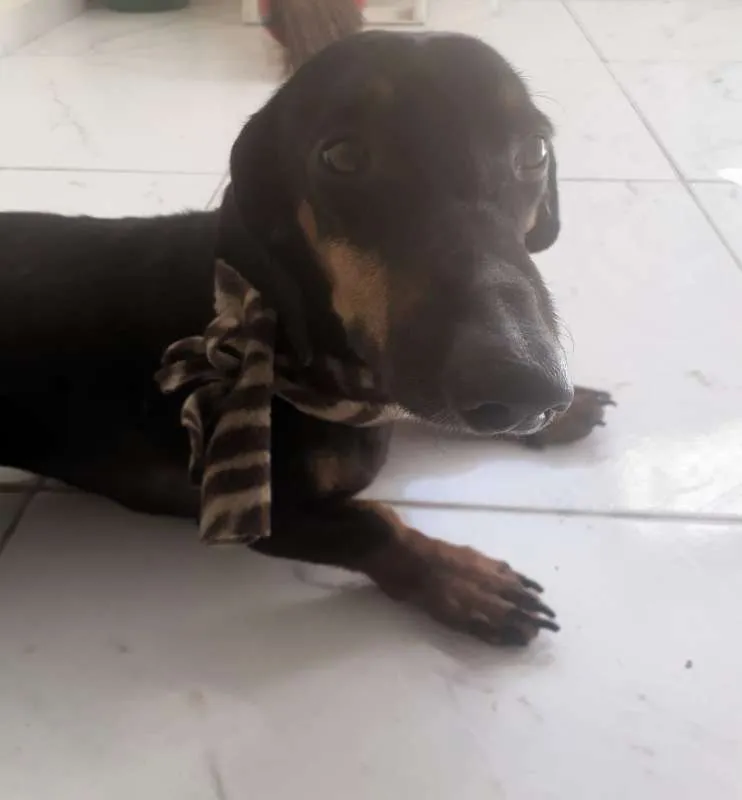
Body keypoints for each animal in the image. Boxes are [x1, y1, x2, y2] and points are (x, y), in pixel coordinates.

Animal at [0, 32, 612, 645]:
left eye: (534, 151)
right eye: (342, 156)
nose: (525, 388)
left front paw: (567, 410)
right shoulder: (253, 510)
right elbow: (374, 523)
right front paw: (463, 580)